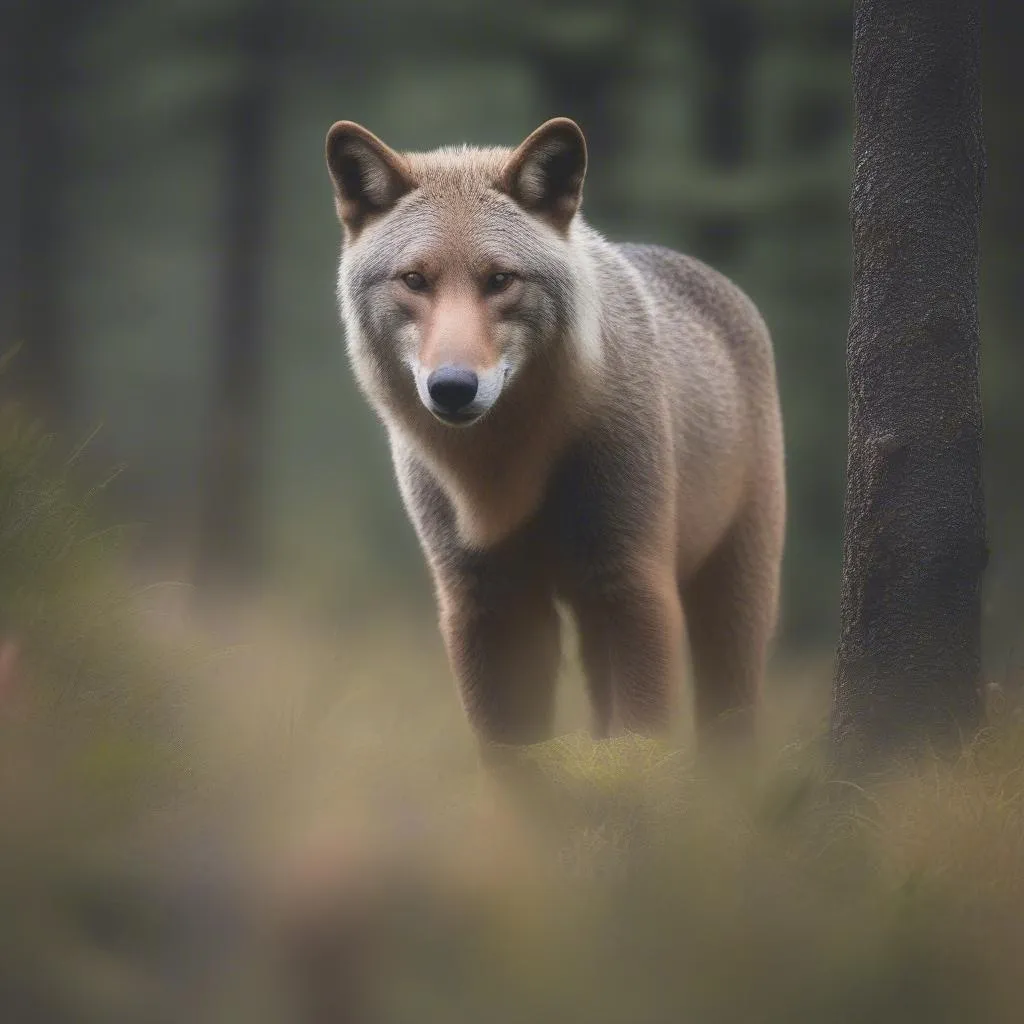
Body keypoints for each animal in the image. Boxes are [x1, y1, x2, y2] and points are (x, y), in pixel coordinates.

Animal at [325, 119, 782, 757]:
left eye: (500, 280)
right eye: (414, 280)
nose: (453, 387)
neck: (503, 476)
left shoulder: (632, 584)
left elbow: (642, 746)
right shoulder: (486, 603)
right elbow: (518, 761)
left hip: (731, 594)